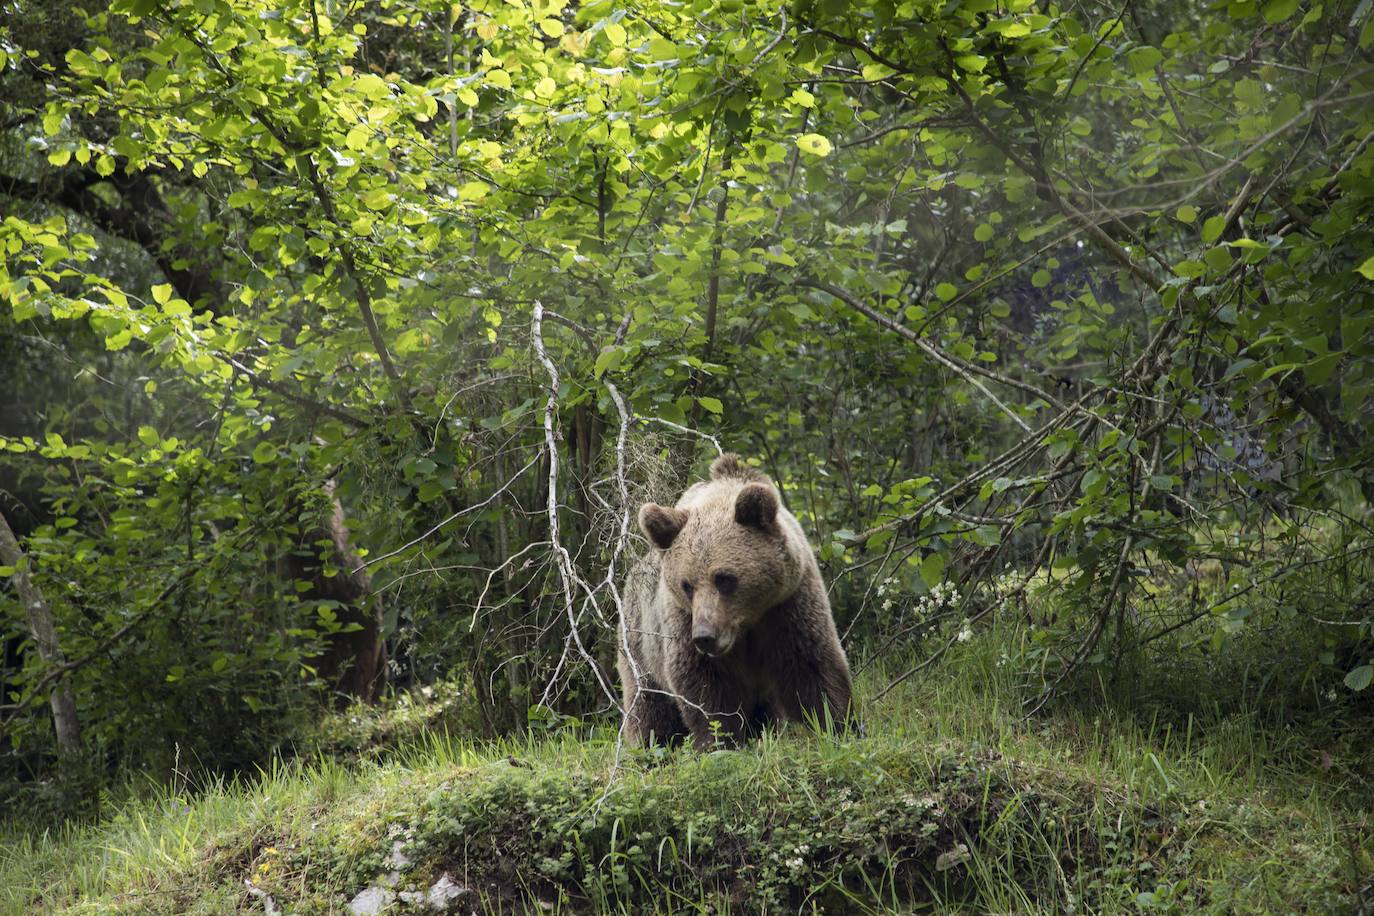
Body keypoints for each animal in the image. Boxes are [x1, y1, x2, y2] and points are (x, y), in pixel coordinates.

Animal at [621, 455, 846, 747]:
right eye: (687, 585)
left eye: (724, 578)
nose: (705, 637)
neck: (746, 624)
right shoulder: (683, 622)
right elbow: (705, 687)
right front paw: (721, 740)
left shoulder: (788, 606)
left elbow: (811, 665)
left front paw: (839, 725)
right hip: (640, 644)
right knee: (648, 705)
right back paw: (650, 744)